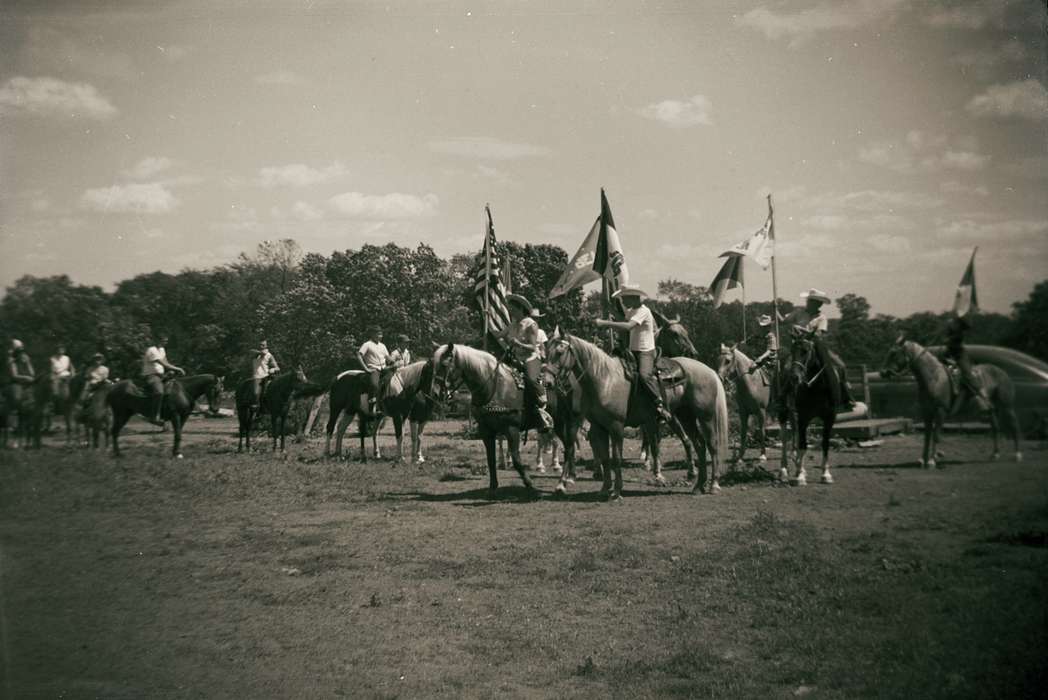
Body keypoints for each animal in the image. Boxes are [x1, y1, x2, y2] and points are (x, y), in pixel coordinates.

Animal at [540, 335, 729, 502]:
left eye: (559, 352)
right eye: (545, 352)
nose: (546, 382)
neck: (604, 380)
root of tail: (709, 370)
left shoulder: (616, 426)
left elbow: (616, 458)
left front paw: (617, 492)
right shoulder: (599, 428)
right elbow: (605, 458)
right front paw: (604, 489)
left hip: (706, 417)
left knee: (712, 445)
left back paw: (713, 485)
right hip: (685, 417)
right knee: (699, 445)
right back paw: (698, 486)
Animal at [779, 335, 842, 484]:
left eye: (806, 351)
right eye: (793, 350)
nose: (794, 377)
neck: (819, 388)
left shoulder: (830, 418)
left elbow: (825, 444)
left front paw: (826, 474)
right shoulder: (803, 416)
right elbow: (803, 444)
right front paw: (800, 477)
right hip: (783, 411)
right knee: (784, 437)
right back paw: (784, 471)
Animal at [884, 335, 1022, 467]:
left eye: (894, 353)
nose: (883, 373)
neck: (934, 379)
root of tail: (1003, 372)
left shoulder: (940, 412)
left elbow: (936, 436)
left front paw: (932, 461)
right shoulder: (927, 413)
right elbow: (927, 437)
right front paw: (923, 459)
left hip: (1007, 407)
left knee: (1014, 426)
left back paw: (1017, 455)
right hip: (991, 410)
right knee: (995, 427)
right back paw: (995, 455)